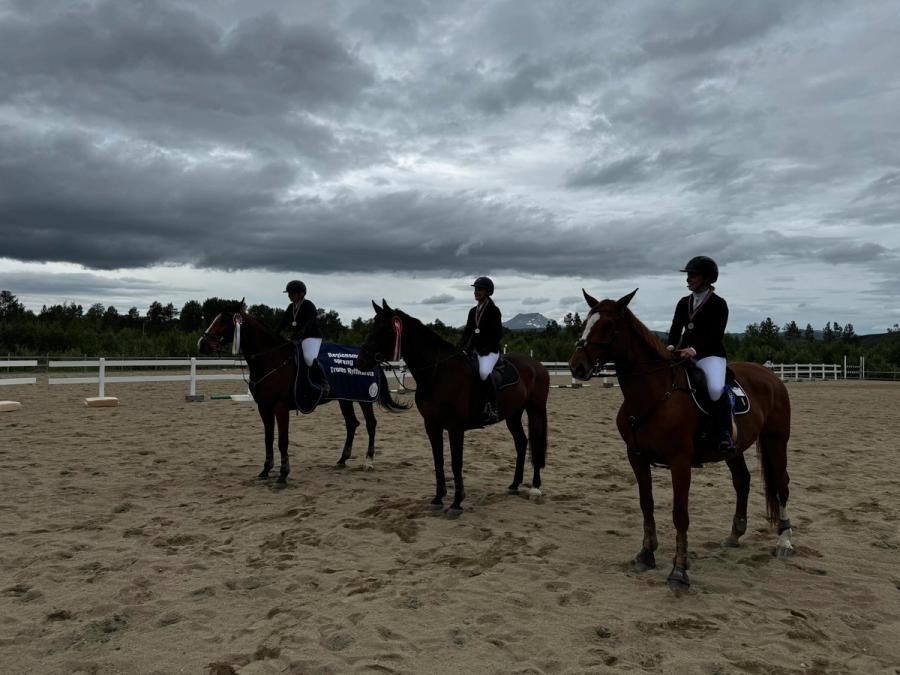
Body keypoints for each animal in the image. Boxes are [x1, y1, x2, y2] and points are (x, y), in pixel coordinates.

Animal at [200, 306, 408, 486]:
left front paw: (283, 475)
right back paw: (342, 460)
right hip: (345, 399)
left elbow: (283, 440)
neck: (271, 359)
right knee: (352, 423)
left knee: (370, 424)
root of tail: (372, 358)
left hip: (364, 399)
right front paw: (265, 471)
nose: (202, 344)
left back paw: (369, 461)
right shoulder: (264, 407)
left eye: (224, 322)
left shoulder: (280, 407)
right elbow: (268, 438)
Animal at [352, 302, 548, 516]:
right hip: (513, 415)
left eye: (383, 330)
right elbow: (438, 459)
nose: (360, 362)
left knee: (536, 444)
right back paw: (514, 485)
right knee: (521, 443)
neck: (437, 373)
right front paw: (438, 499)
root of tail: (537, 365)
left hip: (536, 411)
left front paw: (456, 503)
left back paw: (535, 488)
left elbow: (456, 462)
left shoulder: (455, 428)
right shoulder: (431, 425)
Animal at [568, 290, 796, 592]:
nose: (577, 366)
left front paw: (679, 571)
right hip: (733, 449)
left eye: (608, 326)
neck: (654, 393)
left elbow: (680, 514)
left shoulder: (680, 462)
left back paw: (785, 541)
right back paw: (734, 535)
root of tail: (772, 376)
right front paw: (646, 554)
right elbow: (646, 504)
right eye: (585, 323)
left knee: (781, 483)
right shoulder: (636, 457)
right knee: (742, 481)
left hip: (776, 439)